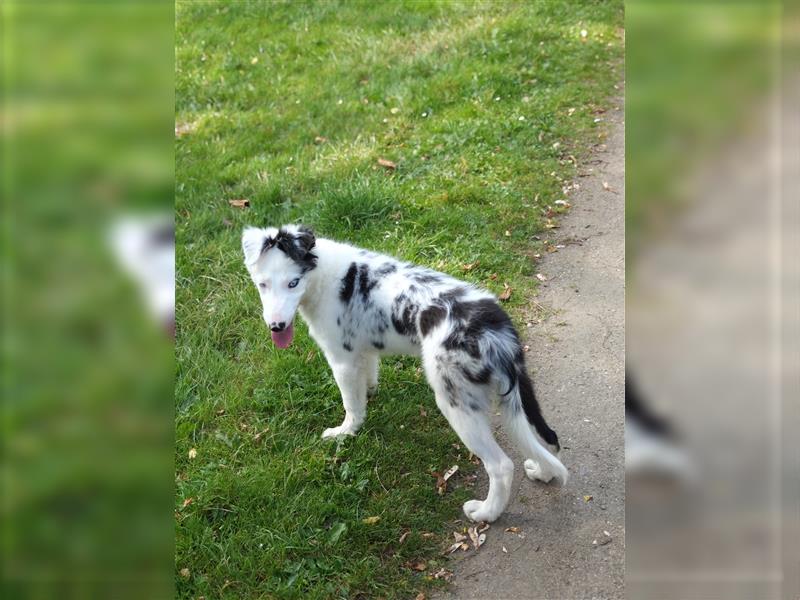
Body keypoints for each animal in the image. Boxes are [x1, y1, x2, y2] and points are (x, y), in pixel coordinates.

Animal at [241, 223, 564, 524]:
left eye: (293, 283)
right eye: (262, 285)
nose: (276, 327)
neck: (324, 276)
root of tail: (495, 331)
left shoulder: (341, 359)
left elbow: (351, 405)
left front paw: (344, 433)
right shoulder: (362, 351)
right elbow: (367, 379)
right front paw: (369, 394)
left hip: (456, 403)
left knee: (501, 466)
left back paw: (486, 512)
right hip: (515, 399)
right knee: (540, 440)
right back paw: (543, 472)